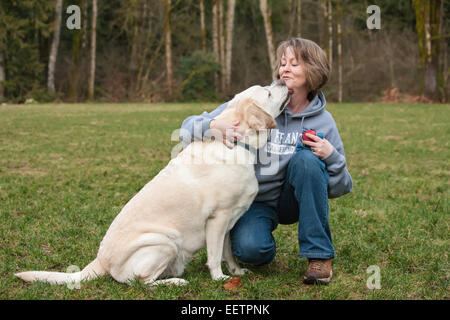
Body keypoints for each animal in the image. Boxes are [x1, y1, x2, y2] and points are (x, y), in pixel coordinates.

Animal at [15, 80, 290, 288]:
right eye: (268, 92)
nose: (282, 81)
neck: (238, 145)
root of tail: (100, 260)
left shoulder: (229, 221)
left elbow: (228, 251)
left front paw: (236, 272)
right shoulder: (218, 218)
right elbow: (214, 255)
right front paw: (219, 278)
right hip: (165, 242)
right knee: (139, 282)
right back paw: (175, 283)